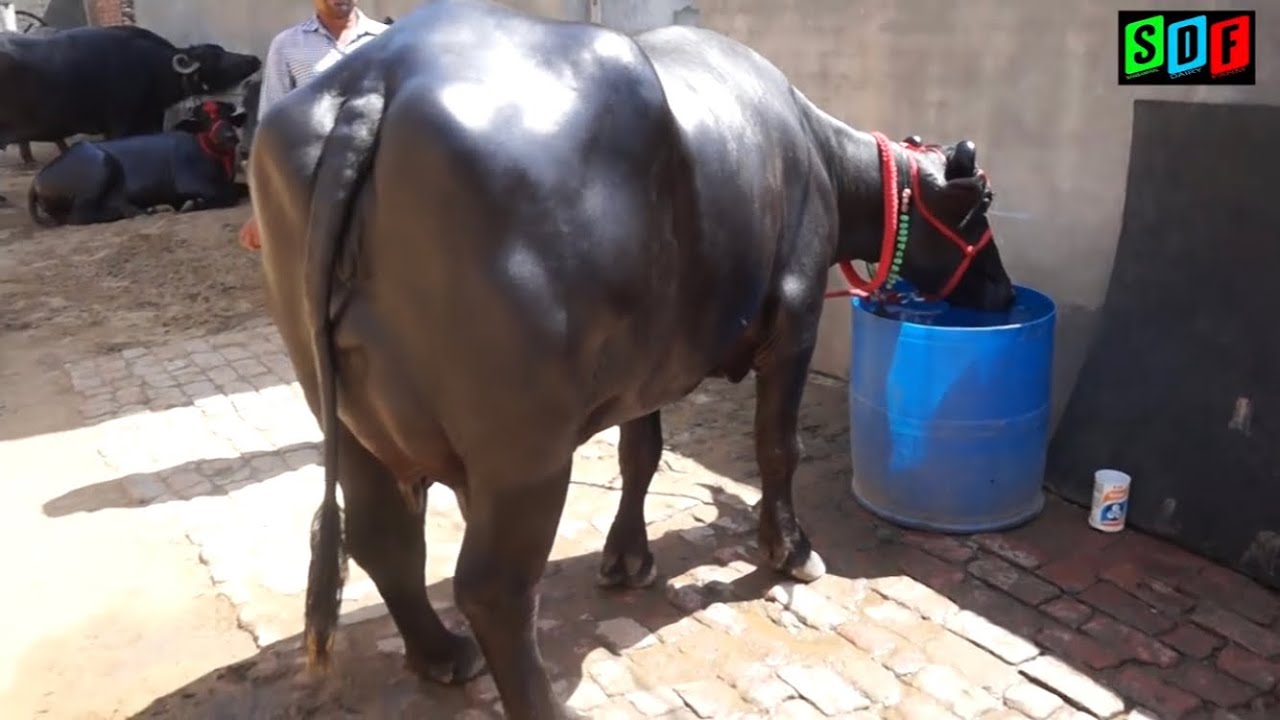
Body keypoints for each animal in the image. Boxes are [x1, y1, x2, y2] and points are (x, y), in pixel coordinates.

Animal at [28, 100, 247, 226]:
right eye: (205, 120)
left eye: (228, 116)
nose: (230, 136)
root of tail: (37, 180)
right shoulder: (191, 183)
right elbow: (227, 194)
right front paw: (191, 204)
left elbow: (241, 188)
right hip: (101, 166)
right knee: (80, 217)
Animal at [249, 0, 1013, 717]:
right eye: (979, 207)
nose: (1003, 291)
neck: (814, 153)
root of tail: (377, 82)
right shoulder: (793, 324)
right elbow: (778, 447)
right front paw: (790, 550)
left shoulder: (649, 364)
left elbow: (639, 454)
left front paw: (627, 558)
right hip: (524, 451)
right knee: (494, 589)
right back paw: (537, 700)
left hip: (345, 415)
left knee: (384, 540)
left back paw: (441, 654)